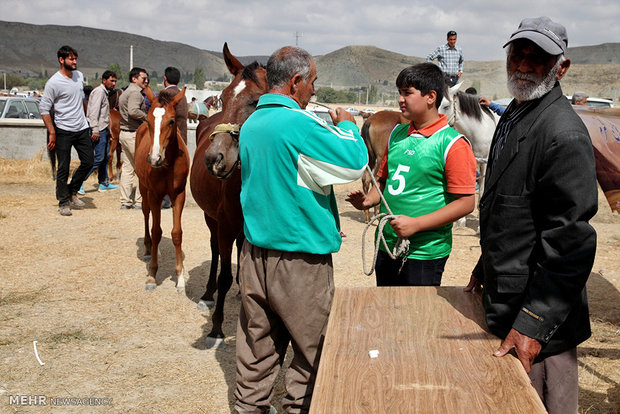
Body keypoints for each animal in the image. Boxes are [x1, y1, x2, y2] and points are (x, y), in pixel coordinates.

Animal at [136, 87, 190, 292]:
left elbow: (176, 233)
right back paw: (148, 248)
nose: (154, 159)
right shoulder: (154, 194)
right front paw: (152, 274)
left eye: (172, 121)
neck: (168, 163)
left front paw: (180, 278)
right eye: (147, 120)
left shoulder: (178, 194)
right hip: (144, 189)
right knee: (147, 215)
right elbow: (156, 230)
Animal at [189, 42, 266, 348]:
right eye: (221, 97)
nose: (214, 159)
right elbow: (223, 274)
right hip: (211, 218)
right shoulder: (224, 225)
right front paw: (216, 329)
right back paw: (208, 294)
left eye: (256, 101)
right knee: (214, 251)